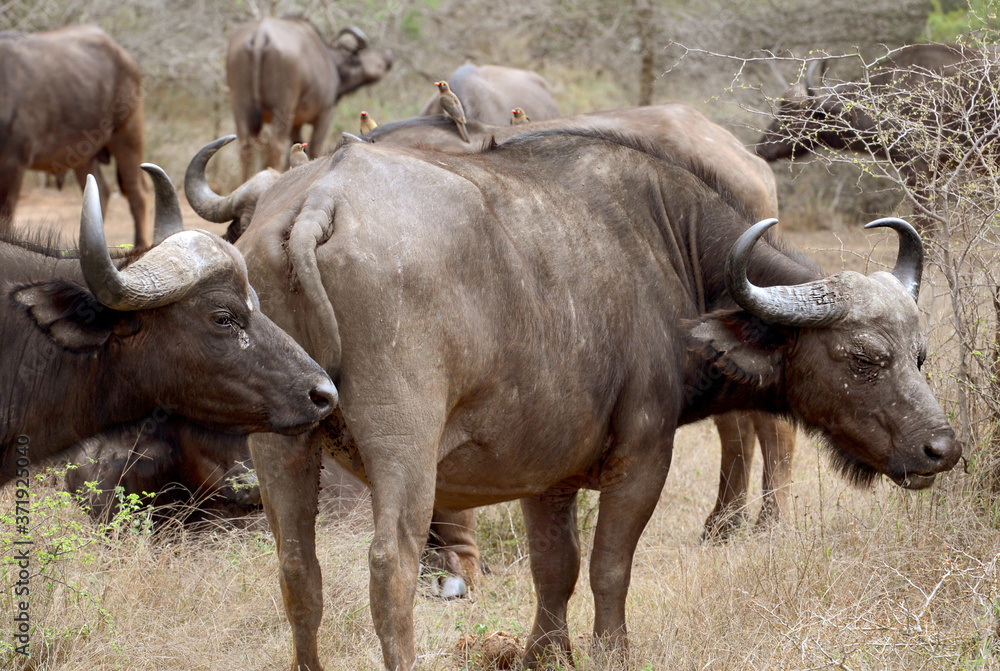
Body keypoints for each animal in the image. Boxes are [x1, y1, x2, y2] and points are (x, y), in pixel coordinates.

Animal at [0, 26, 150, 248]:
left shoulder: (13, 165)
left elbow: (5, 221)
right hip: (85, 154)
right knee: (100, 192)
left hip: (128, 135)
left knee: (137, 193)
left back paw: (140, 246)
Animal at [188, 129, 960, 668]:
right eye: (866, 357)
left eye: (920, 354)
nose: (941, 447)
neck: (665, 249)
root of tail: (322, 200)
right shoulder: (643, 456)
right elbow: (610, 565)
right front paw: (612, 651)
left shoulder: (546, 473)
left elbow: (554, 567)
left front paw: (545, 651)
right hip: (403, 445)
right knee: (391, 564)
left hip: (281, 439)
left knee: (298, 567)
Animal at [227, 17, 394, 181]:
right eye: (365, 51)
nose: (388, 56)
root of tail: (261, 35)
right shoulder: (325, 114)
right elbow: (315, 146)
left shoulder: (296, 124)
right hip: (282, 110)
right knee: (275, 146)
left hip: (241, 106)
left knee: (245, 146)